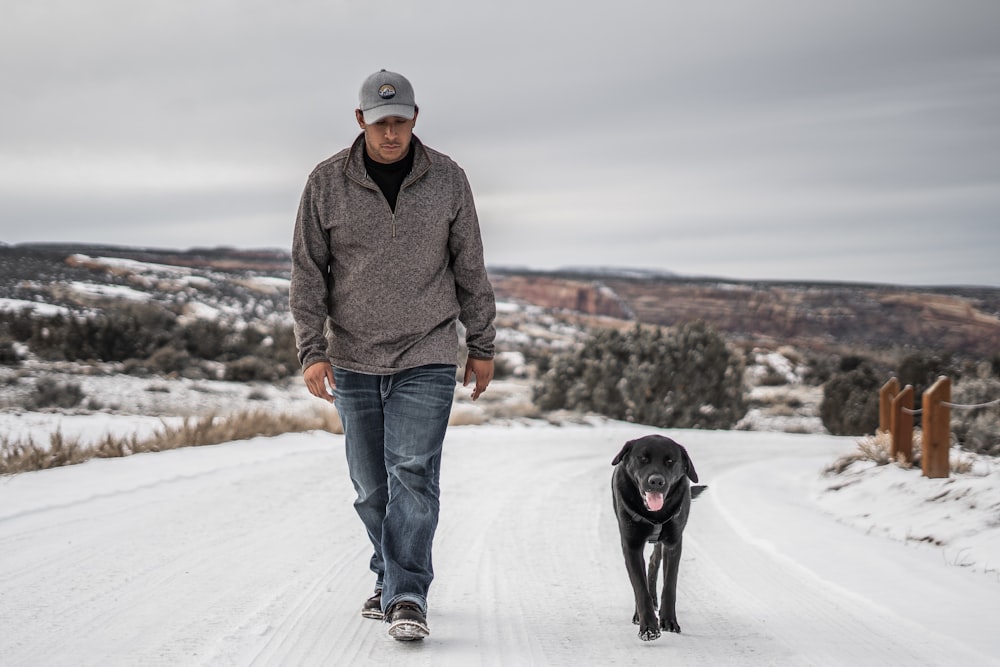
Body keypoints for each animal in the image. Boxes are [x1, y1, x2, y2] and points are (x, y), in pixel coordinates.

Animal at [608, 436, 704, 640]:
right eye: (642, 458)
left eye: (670, 461)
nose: (656, 481)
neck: (654, 515)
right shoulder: (631, 545)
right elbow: (639, 586)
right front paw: (649, 628)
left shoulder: (674, 543)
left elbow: (670, 585)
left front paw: (669, 621)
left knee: (654, 562)